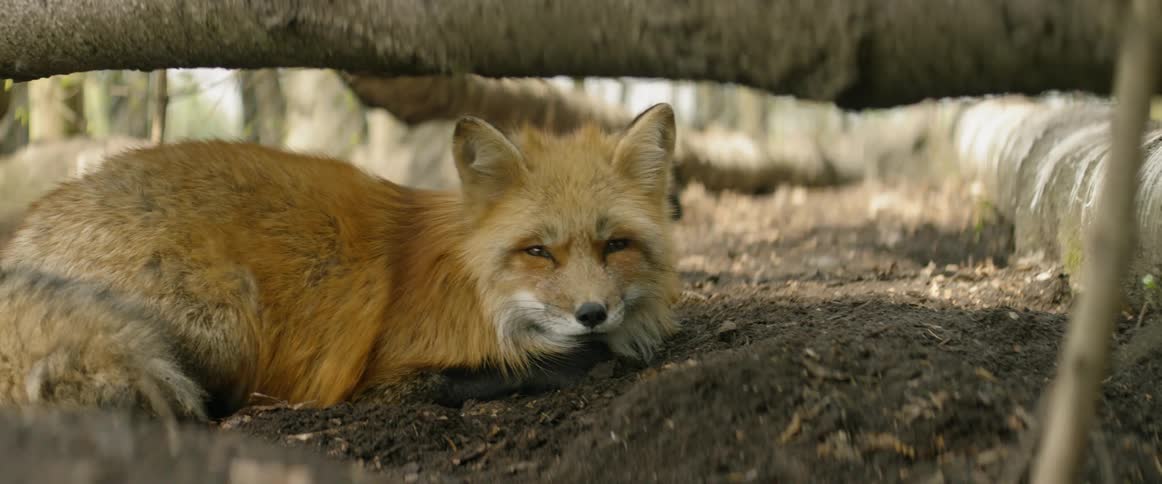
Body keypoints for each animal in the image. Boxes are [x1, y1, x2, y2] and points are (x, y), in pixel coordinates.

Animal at [0, 103, 682, 419]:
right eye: (538, 251)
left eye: (615, 245)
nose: (593, 312)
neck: (480, 292)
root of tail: (25, 238)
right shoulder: (392, 374)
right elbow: (522, 368)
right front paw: (597, 354)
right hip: (228, 318)